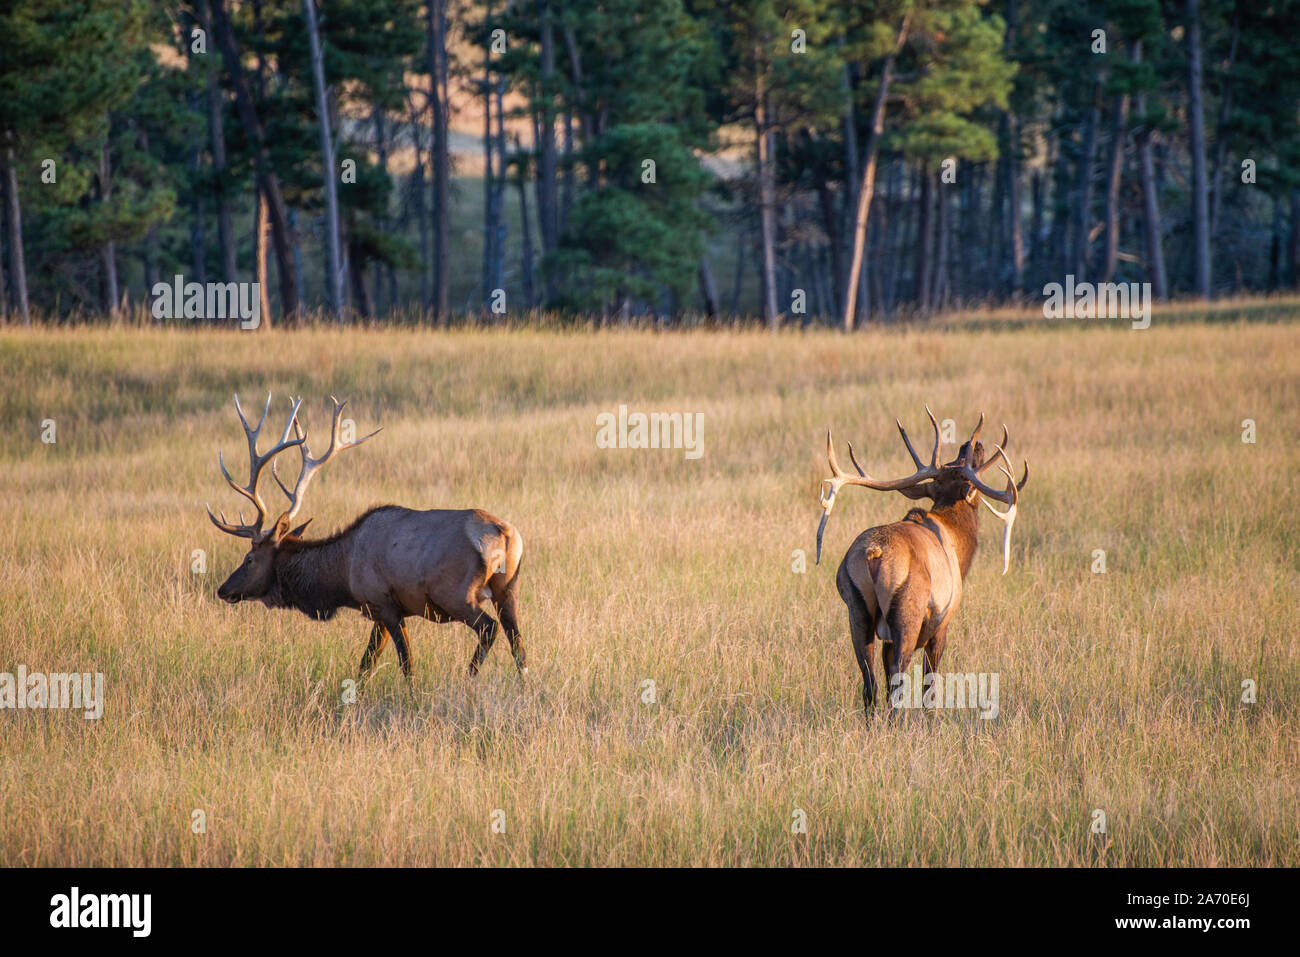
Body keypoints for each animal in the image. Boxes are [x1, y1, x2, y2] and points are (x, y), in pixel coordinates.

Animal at [205, 394, 526, 685]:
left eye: (249, 559)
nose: (223, 589)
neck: (342, 574)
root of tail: (506, 535)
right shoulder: (380, 613)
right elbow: (366, 664)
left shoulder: (384, 602)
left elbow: (405, 663)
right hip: (508, 589)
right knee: (518, 643)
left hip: (457, 594)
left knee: (489, 629)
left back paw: (468, 677)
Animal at [815, 408, 1027, 717]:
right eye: (964, 463)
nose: (972, 444)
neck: (957, 542)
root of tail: (874, 553)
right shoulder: (943, 623)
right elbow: (930, 685)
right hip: (908, 611)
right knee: (899, 675)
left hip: (857, 608)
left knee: (870, 682)